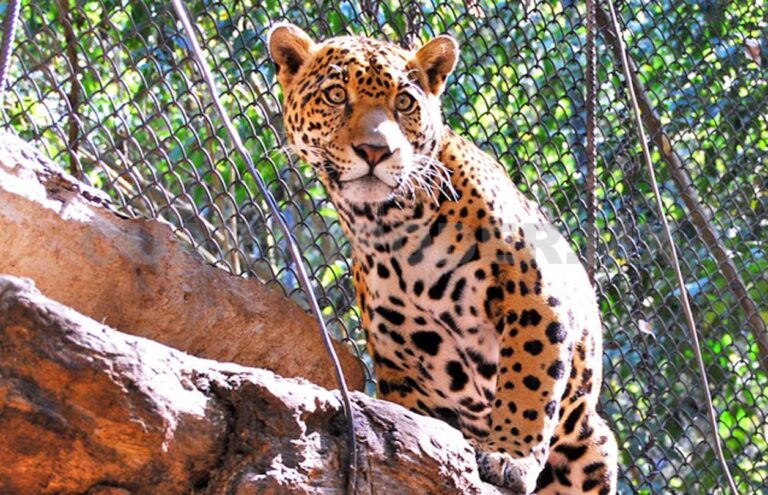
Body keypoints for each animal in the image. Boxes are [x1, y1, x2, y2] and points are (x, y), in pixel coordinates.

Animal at [268, 23, 618, 494]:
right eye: (336, 95)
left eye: (404, 103)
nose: (375, 151)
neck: (390, 225)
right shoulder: (400, 358)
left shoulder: (536, 299)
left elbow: (527, 383)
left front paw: (509, 456)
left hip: (593, 442)